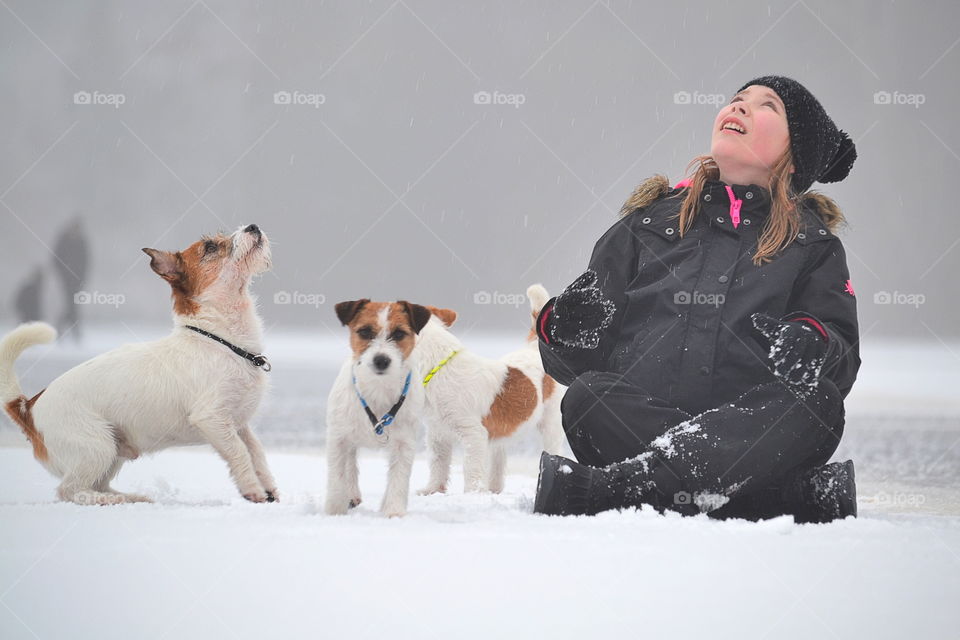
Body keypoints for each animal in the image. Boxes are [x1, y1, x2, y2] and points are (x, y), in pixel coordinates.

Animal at [0, 225, 278, 504]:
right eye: (210, 247)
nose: (252, 227)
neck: (220, 340)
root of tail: (28, 406)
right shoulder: (212, 419)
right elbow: (240, 453)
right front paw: (253, 490)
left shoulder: (238, 424)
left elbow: (256, 452)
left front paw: (269, 488)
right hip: (97, 446)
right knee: (71, 491)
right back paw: (112, 501)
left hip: (113, 450)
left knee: (96, 485)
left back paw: (131, 497)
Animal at [326, 298, 432, 516]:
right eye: (365, 332)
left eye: (399, 334)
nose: (381, 360)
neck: (378, 389)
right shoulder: (338, 438)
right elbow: (337, 477)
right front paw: (334, 511)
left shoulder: (404, 443)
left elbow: (398, 478)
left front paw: (393, 512)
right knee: (349, 463)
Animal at [416, 284, 568, 496]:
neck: (438, 367)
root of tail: (532, 348)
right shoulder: (438, 435)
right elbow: (438, 466)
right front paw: (432, 490)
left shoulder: (473, 435)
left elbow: (471, 469)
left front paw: (471, 494)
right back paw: (493, 489)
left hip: (550, 424)